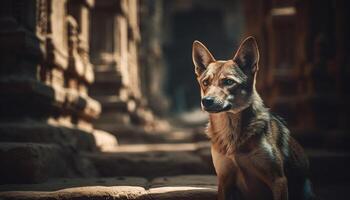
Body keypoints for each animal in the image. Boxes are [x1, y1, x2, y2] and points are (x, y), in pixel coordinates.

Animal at [193, 37, 316, 200]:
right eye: (205, 82)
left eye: (228, 82)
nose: (206, 101)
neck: (231, 133)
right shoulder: (224, 181)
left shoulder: (278, 180)